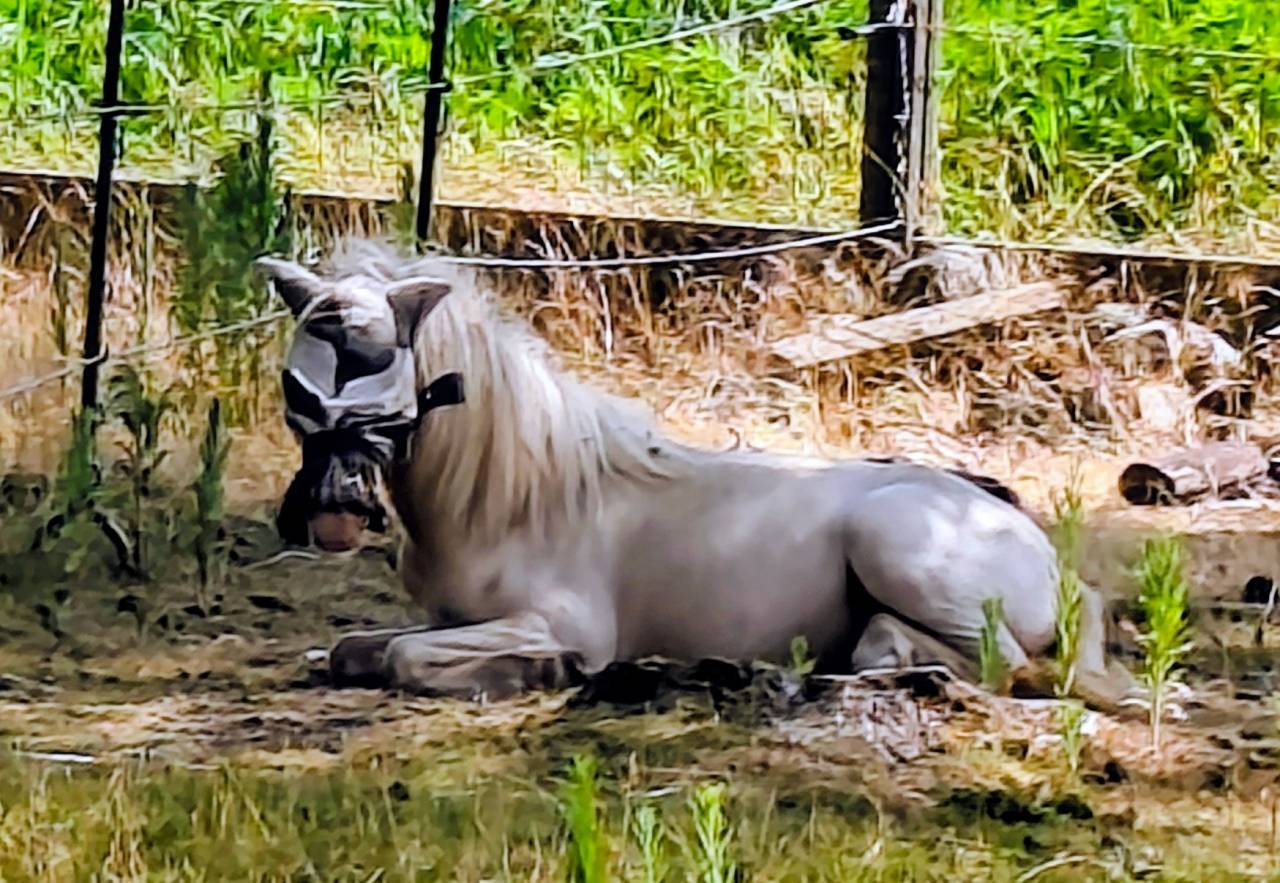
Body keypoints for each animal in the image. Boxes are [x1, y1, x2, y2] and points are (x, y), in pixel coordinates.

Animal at [255, 240, 1141, 709]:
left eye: (385, 394)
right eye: (298, 390)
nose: (330, 516)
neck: (521, 498)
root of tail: (1044, 554)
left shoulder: (559, 620)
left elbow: (406, 660)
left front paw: (548, 671)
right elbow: (356, 650)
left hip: (896, 543)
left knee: (1016, 663)